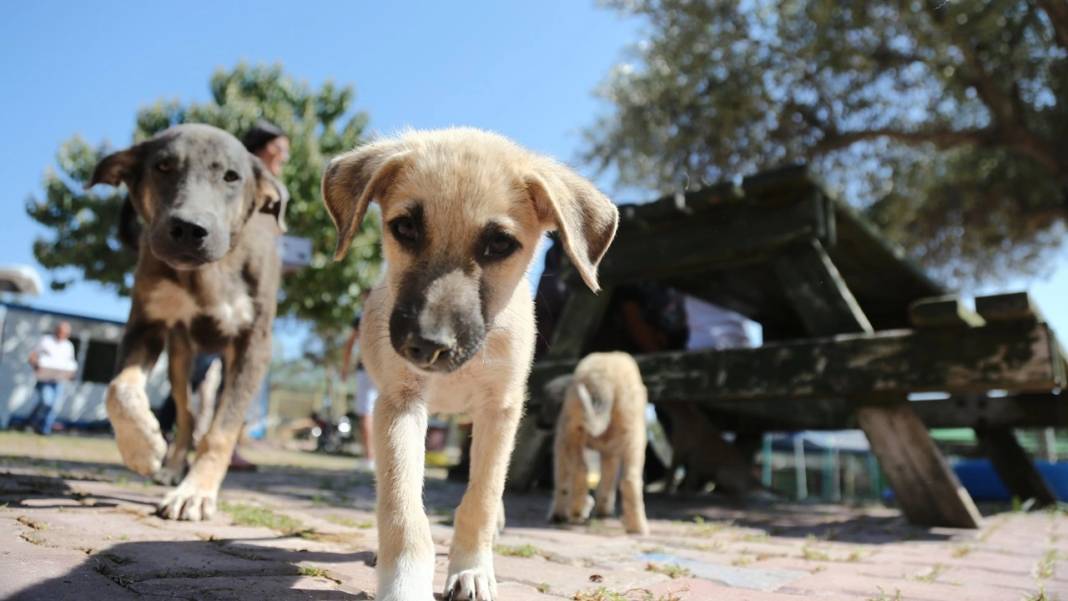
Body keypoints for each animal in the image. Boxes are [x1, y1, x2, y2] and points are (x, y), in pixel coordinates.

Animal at [320, 128, 619, 601]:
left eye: (500, 244)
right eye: (404, 227)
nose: (427, 346)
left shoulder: (500, 408)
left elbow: (482, 495)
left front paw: (471, 570)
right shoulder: (399, 404)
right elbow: (402, 504)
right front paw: (404, 580)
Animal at [551, 352, 649, 535]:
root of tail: (605, 380)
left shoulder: (561, 441)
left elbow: (563, 480)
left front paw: (559, 513)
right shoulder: (610, 452)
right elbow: (607, 482)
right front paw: (602, 509)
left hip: (572, 432)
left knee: (581, 470)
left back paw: (574, 511)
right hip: (633, 434)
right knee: (629, 480)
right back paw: (638, 527)